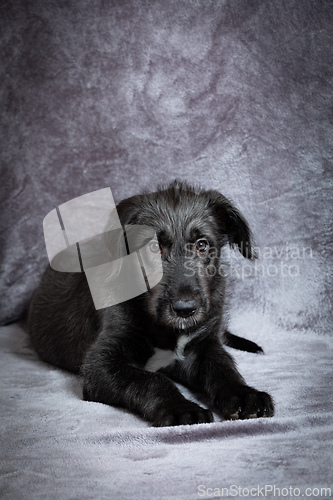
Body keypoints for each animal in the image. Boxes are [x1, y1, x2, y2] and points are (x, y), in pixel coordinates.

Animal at [27, 181, 272, 426]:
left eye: (202, 245)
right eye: (153, 247)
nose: (185, 309)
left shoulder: (204, 345)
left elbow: (222, 368)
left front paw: (245, 395)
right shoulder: (100, 363)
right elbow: (150, 379)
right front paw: (182, 408)